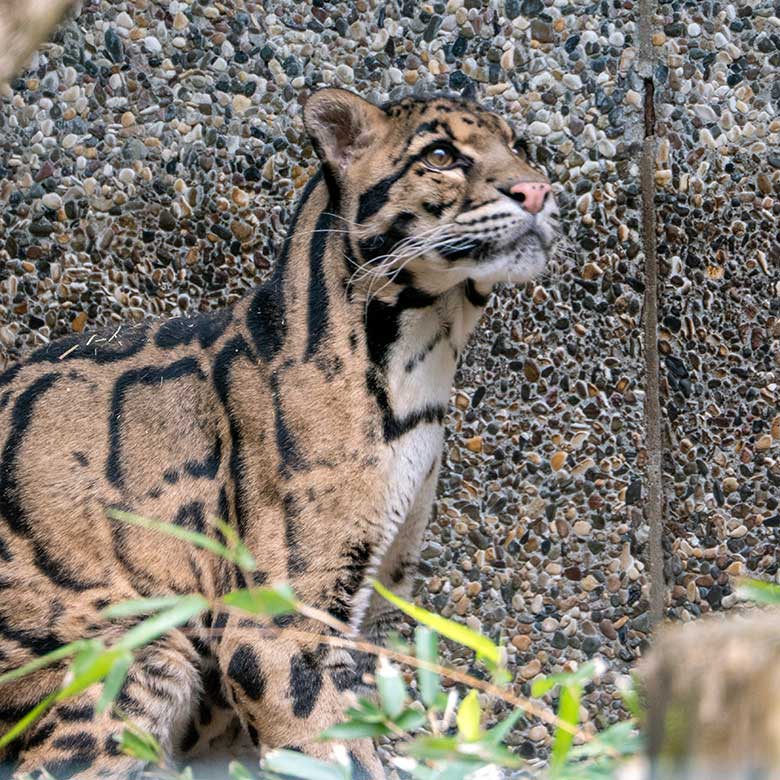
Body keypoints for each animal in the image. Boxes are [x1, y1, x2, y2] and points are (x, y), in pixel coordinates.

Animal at [1, 88, 560, 776]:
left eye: (518, 147)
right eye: (440, 155)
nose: (537, 190)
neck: (426, 359)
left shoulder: (373, 608)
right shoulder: (280, 626)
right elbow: (332, 750)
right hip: (134, 657)